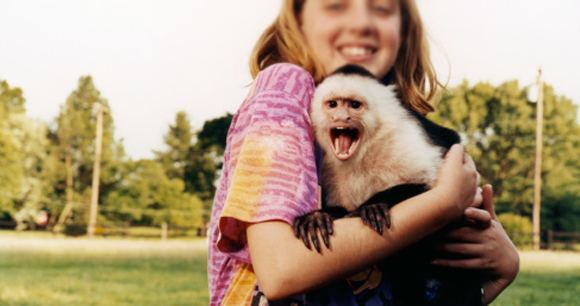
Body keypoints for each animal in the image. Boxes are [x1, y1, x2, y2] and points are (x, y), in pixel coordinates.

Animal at [292, 65, 482, 306]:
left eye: (354, 105)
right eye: (333, 104)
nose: (341, 117)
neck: (364, 150)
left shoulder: (404, 135)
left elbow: (431, 187)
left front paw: (374, 206)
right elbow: (340, 209)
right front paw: (319, 217)